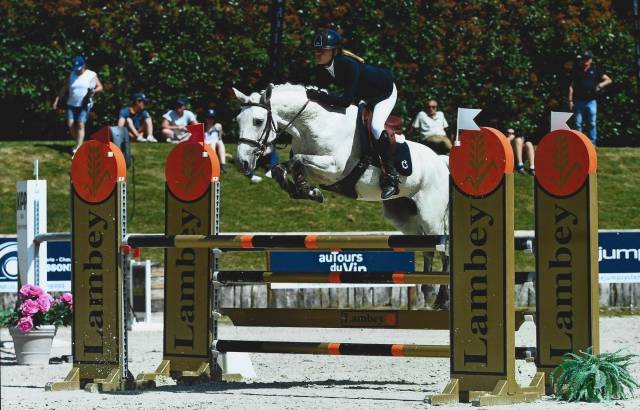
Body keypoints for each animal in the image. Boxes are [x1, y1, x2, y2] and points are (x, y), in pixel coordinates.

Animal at [233, 84, 451, 306]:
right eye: (238, 120)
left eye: (258, 121)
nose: (242, 163)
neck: (314, 124)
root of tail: (441, 161)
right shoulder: (319, 170)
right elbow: (284, 168)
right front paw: (307, 191)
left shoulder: (334, 168)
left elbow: (299, 160)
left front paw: (307, 189)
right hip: (403, 217)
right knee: (427, 248)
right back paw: (428, 291)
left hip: (430, 215)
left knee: (443, 249)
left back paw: (442, 298)